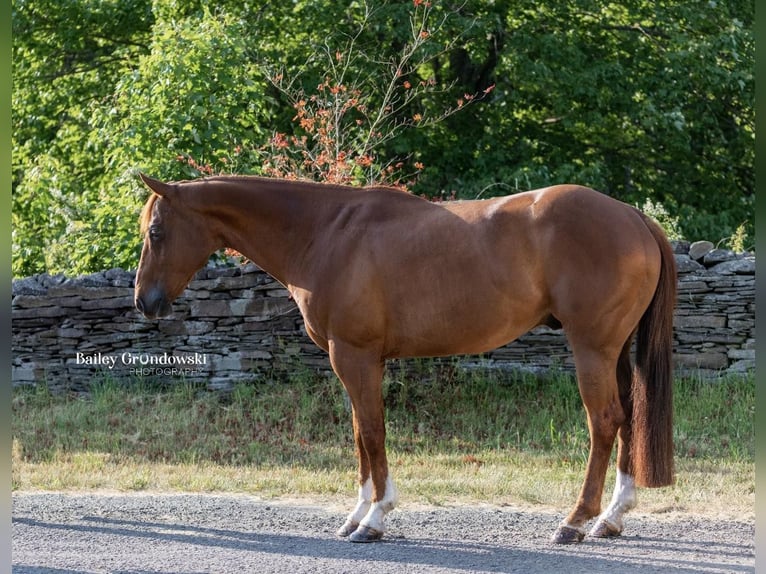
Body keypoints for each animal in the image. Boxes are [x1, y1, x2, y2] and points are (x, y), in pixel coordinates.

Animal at [135, 174, 676, 544]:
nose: (144, 301)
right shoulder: (357, 361)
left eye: (156, 232)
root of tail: (633, 216)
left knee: (603, 422)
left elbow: (373, 433)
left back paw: (575, 521)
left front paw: (374, 519)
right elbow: (360, 434)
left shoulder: (354, 356)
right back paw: (611, 517)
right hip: (614, 352)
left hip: (591, 349)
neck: (324, 232)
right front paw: (356, 514)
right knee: (627, 418)